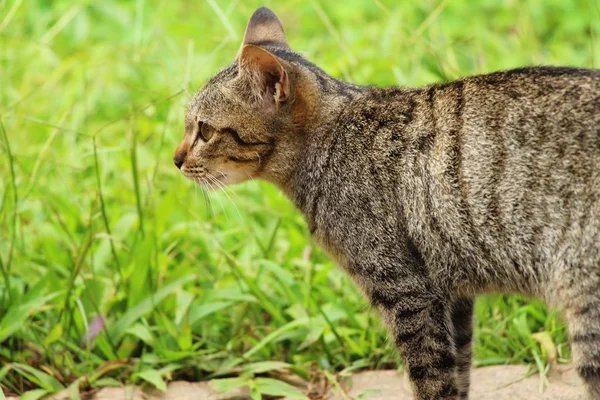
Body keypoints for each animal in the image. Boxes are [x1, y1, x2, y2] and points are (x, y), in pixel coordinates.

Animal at [173, 7, 600, 400]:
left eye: (204, 131)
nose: (175, 160)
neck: (327, 144)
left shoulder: (407, 291)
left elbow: (431, 378)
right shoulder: (453, 297)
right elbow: (458, 372)